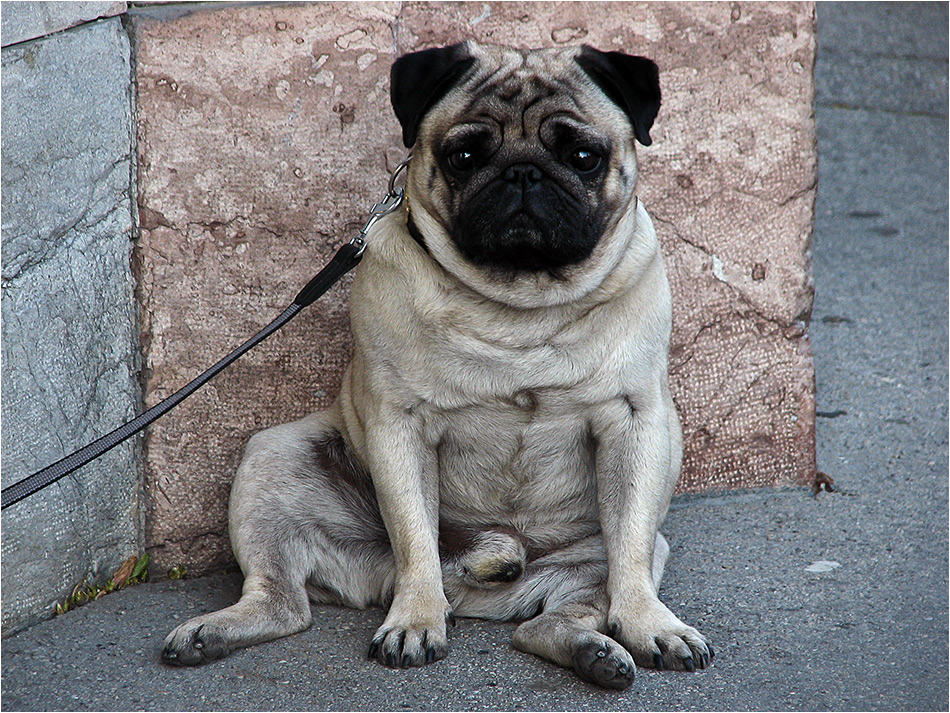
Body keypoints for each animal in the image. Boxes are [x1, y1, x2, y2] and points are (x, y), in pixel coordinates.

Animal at [164, 40, 712, 688]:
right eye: (464, 155)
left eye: (583, 157)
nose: (522, 173)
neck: (517, 305)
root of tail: (477, 588)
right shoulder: (398, 425)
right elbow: (414, 534)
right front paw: (416, 619)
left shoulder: (634, 421)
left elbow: (627, 545)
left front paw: (650, 623)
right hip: (273, 459)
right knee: (284, 601)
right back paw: (212, 632)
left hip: (610, 560)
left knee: (549, 619)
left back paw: (594, 652)